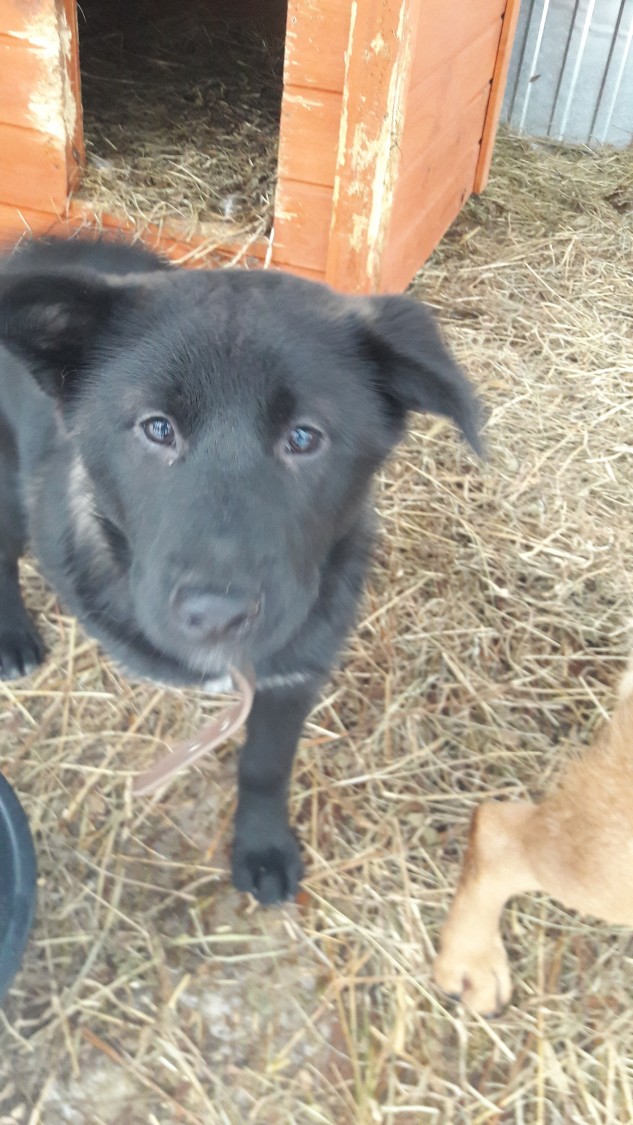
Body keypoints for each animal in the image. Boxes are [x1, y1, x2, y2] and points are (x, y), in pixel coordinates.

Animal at [0, 236, 480, 905]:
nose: (216, 616)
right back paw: (13, 638)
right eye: (157, 428)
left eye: (303, 438)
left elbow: (265, 766)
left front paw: (262, 847)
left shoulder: (294, 674)